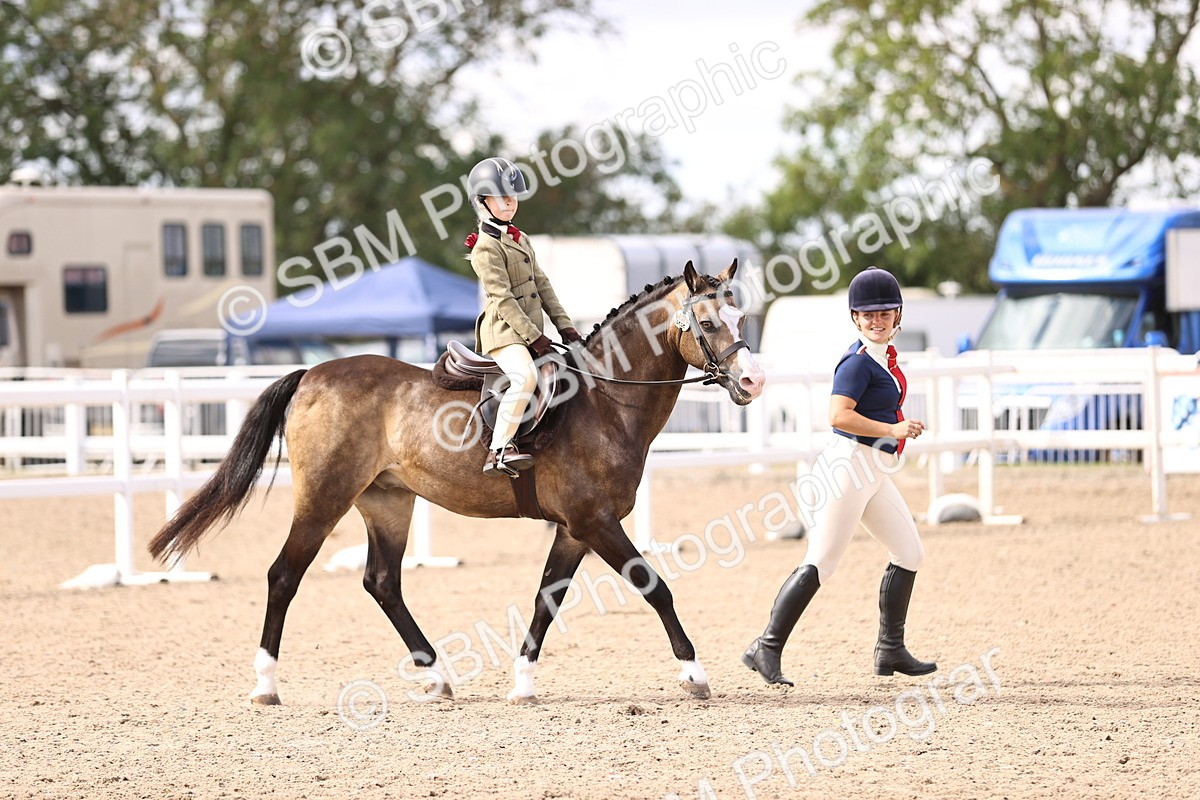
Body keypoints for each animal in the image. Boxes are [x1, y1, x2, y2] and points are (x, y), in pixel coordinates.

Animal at [148, 260, 765, 705]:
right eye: (709, 324)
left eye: (742, 320)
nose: (754, 382)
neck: (603, 400)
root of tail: (312, 375)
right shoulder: (595, 521)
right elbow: (654, 585)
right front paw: (695, 674)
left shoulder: (574, 529)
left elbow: (546, 599)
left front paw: (523, 683)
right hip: (323, 500)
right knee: (284, 577)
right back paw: (266, 685)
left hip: (387, 503)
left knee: (382, 583)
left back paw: (435, 677)